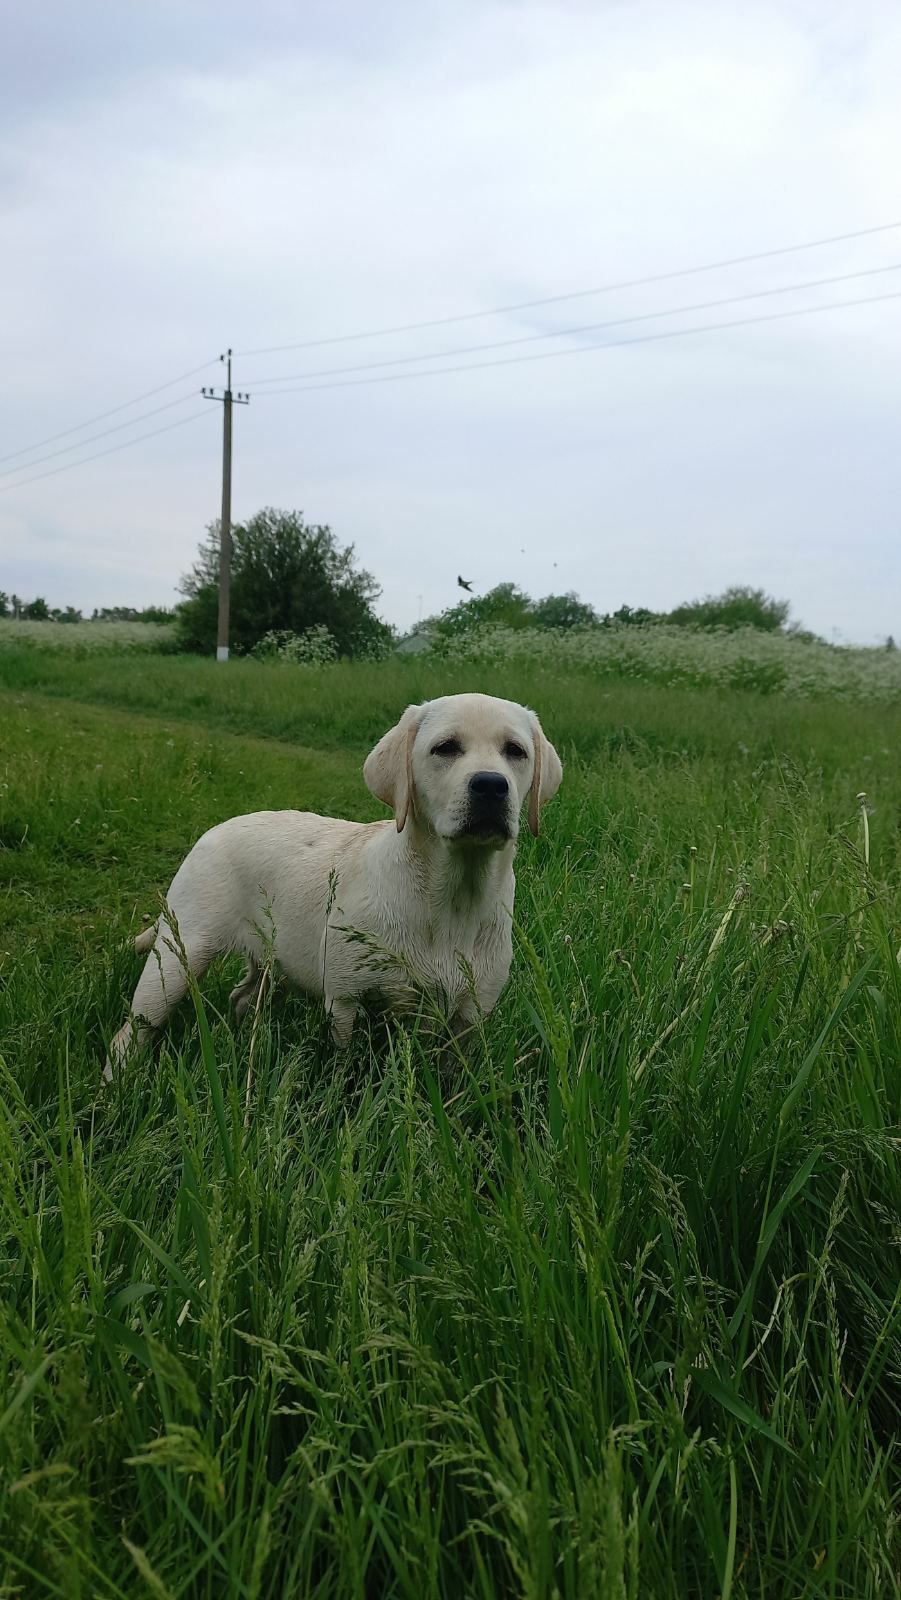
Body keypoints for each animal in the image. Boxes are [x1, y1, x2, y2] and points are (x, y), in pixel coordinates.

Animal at [104, 691, 556, 1075]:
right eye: (445, 748)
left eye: (515, 751)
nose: (491, 785)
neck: (452, 896)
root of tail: (214, 829)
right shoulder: (345, 998)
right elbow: (344, 1062)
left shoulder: (471, 1016)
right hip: (180, 957)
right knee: (132, 1030)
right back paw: (117, 1083)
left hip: (275, 958)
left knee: (242, 995)